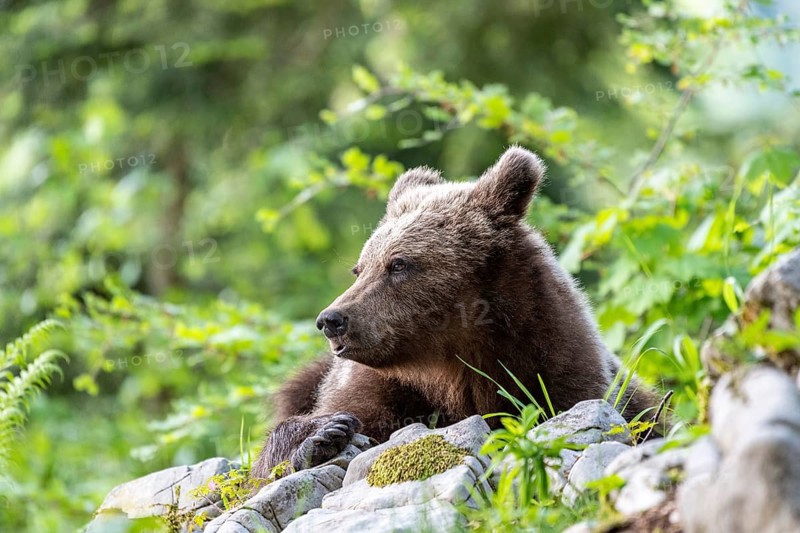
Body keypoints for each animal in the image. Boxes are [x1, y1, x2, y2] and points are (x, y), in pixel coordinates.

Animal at [250, 146, 660, 480]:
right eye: (360, 268)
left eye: (398, 264)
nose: (332, 320)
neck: (449, 364)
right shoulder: (377, 387)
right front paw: (325, 435)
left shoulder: (556, 360)